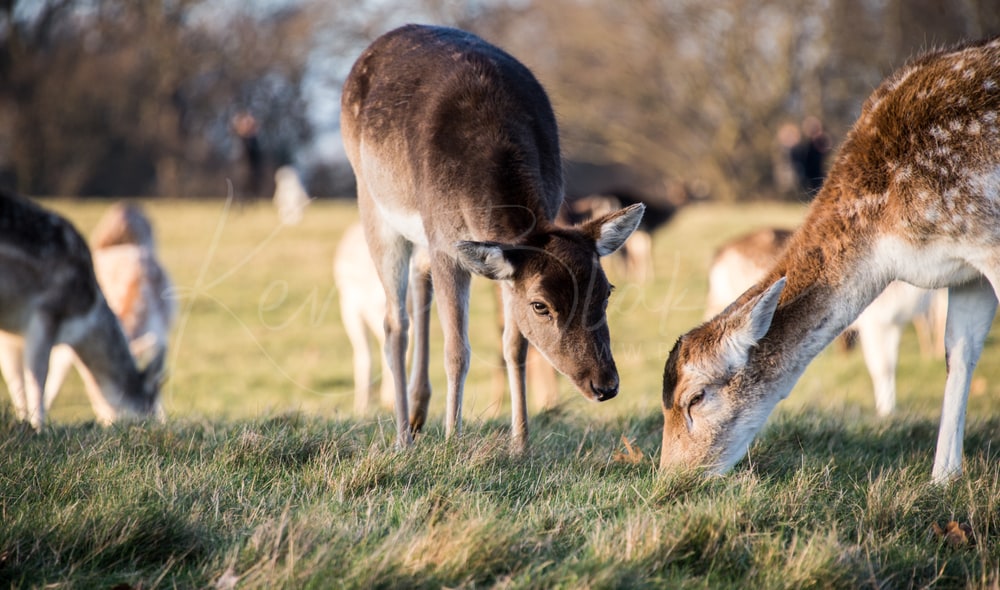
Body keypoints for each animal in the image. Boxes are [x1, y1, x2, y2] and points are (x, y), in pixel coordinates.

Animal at [341, 24, 644, 449]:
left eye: (606, 292)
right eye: (540, 306)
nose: (606, 385)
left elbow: (514, 346)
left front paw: (521, 443)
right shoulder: (447, 244)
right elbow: (458, 350)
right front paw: (452, 441)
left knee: (419, 284)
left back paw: (418, 414)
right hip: (372, 201)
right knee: (394, 322)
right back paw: (403, 436)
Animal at [704, 227, 947, 416]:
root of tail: (720, 252)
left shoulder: (895, 322)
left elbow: (891, 364)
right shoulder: (875, 321)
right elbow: (881, 367)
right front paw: (886, 414)